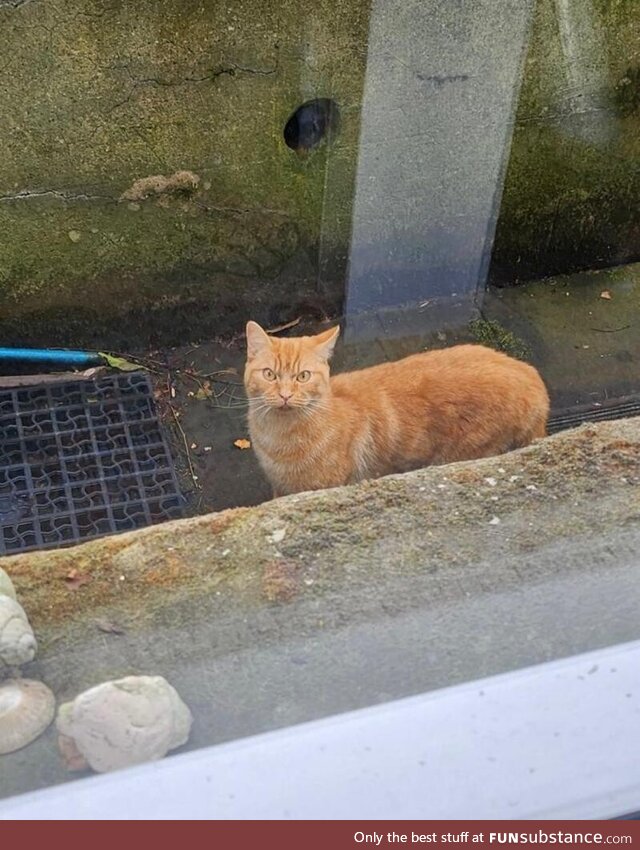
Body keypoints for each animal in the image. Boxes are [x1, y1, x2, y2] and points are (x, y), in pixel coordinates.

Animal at [245, 322, 552, 496]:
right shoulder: (280, 489)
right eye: (270, 374)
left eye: (303, 376)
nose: (285, 395)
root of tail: (534, 382)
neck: (277, 437)